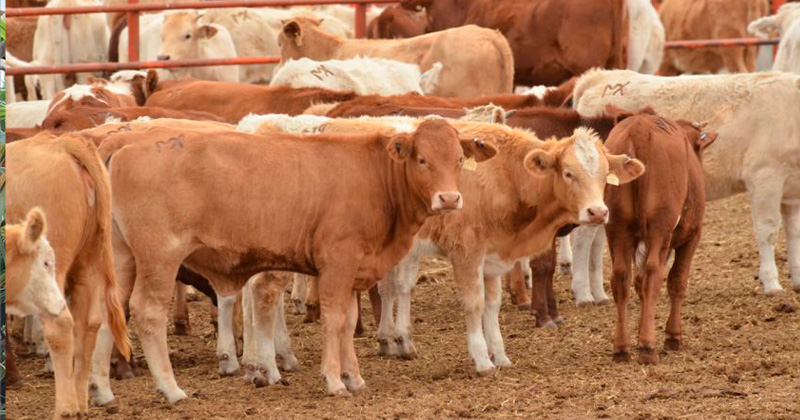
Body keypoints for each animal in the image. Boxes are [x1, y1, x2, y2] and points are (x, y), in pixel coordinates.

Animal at [7, 134, 131, 419]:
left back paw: (65, 408)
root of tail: (62, 143)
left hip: (55, 267)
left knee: (61, 325)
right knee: (90, 323)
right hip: (89, 262)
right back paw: (80, 403)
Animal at [86, 118, 496, 402]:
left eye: (459, 158)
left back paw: (102, 390)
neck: (374, 178)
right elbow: (335, 320)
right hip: (159, 256)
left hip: (121, 259)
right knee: (148, 312)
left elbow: (348, 322)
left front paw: (355, 378)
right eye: (422, 159)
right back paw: (171, 389)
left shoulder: (352, 271)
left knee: (109, 311)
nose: (449, 199)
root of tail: (125, 140)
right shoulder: (337, 263)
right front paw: (334, 380)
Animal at [573, 69, 800, 295]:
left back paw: (599, 293)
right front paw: (772, 283)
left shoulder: (792, 192)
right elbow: (768, 231)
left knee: (596, 241)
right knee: (582, 240)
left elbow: (794, 233)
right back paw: (583, 292)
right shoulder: (765, 178)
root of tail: (599, 76)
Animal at [604, 112, 716, 364]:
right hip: (660, 227)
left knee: (621, 277)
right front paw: (673, 335)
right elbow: (677, 281)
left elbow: (638, 283)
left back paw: (622, 347)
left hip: (617, 227)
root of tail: (640, 126)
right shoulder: (692, 236)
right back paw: (648, 346)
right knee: (654, 274)